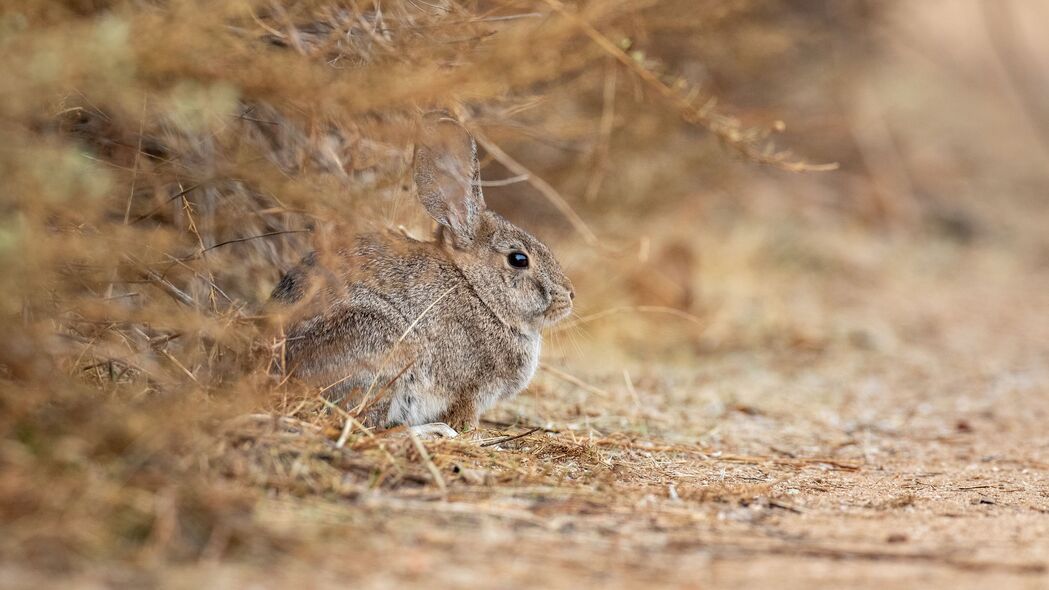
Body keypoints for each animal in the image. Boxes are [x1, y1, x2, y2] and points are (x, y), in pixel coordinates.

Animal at [270, 113, 579, 436]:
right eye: (519, 259)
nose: (569, 294)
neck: (479, 292)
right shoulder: (471, 390)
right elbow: (464, 416)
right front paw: (470, 434)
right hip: (381, 352)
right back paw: (433, 431)